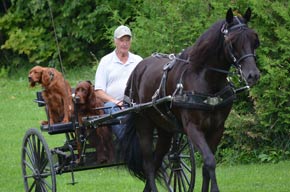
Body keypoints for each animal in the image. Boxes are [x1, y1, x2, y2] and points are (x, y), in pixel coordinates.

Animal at [119, 7, 260, 192]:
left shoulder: (217, 128)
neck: (205, 79)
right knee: (149, 163)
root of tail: (137, 69)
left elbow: (207, 166)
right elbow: (210, 161)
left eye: (254, 40)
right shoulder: (193, 128)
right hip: (144, 124)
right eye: (232, 41)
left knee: (158, 161)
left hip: (165, 129)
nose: (253, 75)